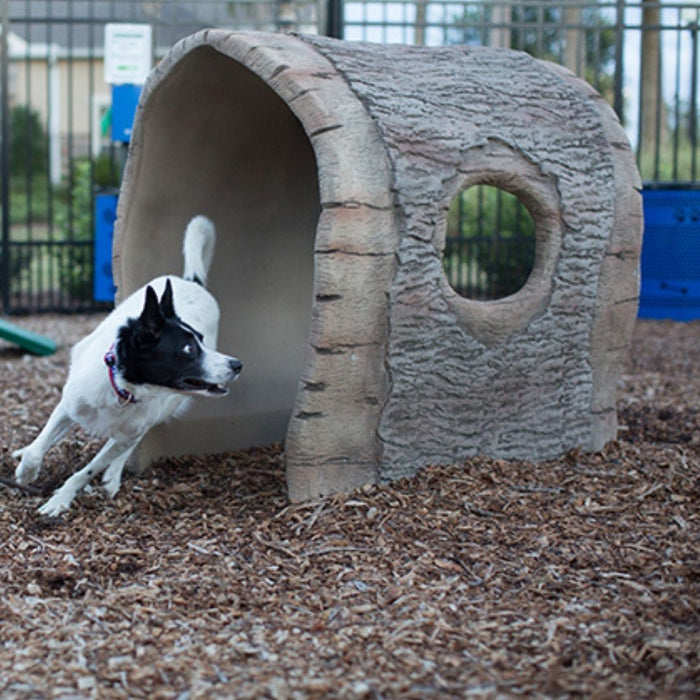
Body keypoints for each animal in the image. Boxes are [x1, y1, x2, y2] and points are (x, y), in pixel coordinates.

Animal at [10, 216, 241, 516]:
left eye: (202, 340)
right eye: (189, 349)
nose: (237, 365)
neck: (122, 388)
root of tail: (192, 283)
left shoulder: (127, 433)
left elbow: (87, 471)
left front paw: (61, 499)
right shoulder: (68, 407)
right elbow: (38, 448)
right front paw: (26, 471)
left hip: (166, 408)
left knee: (132, 441)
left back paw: (114, 475)